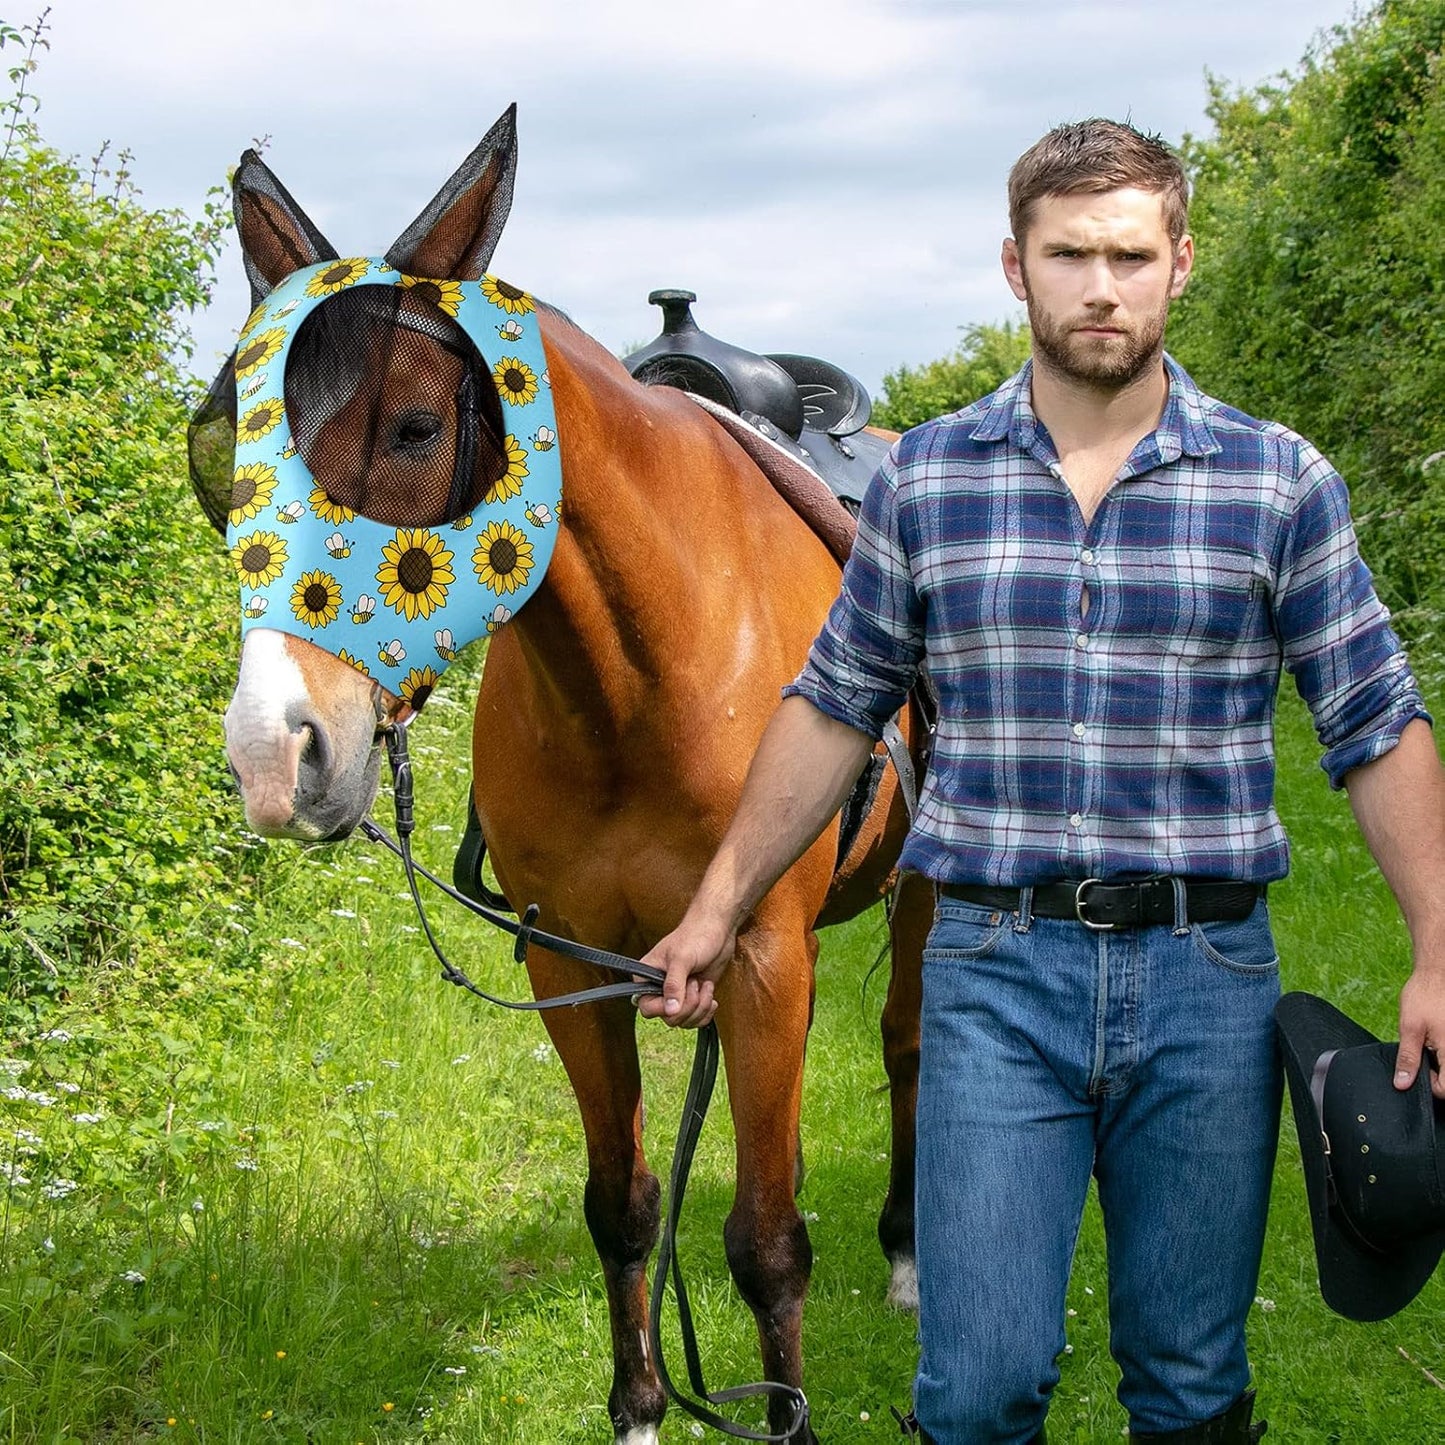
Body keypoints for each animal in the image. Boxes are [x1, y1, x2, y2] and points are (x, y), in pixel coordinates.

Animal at [204, 106, 927, 1444]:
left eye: (414, 427)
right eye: (234, 453)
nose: (279, 747)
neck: (637, 681)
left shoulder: (761, 958)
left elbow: (766, 1243)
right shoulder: (568, 962)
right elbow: (625, 1203)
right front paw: (642, 1405)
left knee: (907, 1041)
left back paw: (908, 1250)